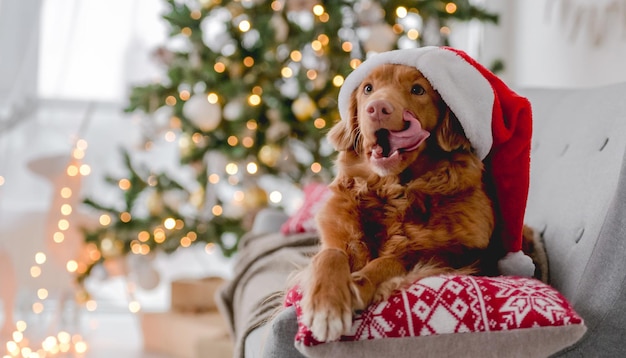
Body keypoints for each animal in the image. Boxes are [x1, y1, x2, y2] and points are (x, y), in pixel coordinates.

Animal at [298, 63, 498, 342]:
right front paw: (326, 305)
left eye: (418, 90)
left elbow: (393, 261)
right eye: (368, 88)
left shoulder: (452, 258)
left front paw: (358, 283)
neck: (389, 193)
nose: (377, 108)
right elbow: (329, 254)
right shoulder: (336, 237)